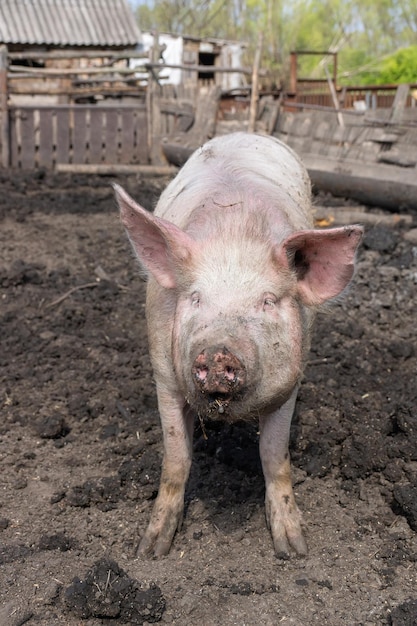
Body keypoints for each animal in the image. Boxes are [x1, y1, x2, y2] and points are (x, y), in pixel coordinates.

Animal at [113, 130, 360, 556]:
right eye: (195, 298)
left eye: (267, 301)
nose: (217, 352)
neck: (235, 234)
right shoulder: (164, 375)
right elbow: (176, 458)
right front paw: (151, 548)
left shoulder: (291, 380)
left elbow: (274, 455)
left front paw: (293, 548)